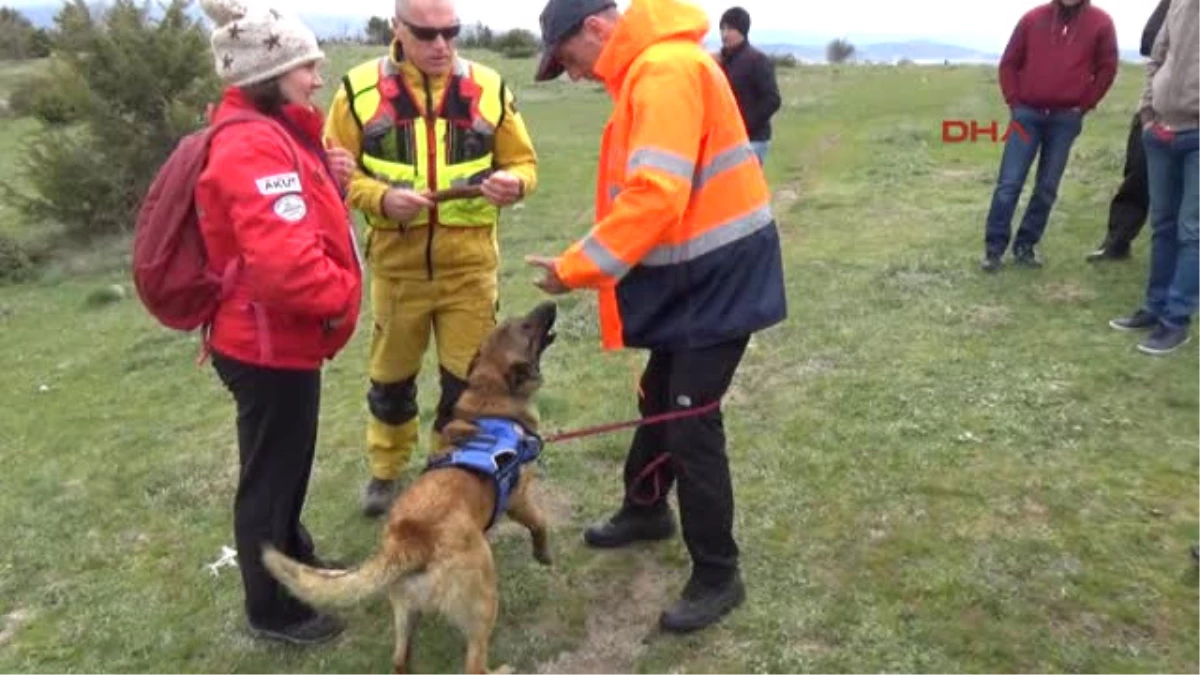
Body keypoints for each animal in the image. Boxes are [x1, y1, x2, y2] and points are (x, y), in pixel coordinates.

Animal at [261, 300, 556, 672]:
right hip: (483, 601)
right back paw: (501, 669)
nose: (550, 303)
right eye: (526, 328)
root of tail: (408, 539)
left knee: (400, 660)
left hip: (405, 611)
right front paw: (543, 554)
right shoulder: (519, 500)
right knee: (474, 664)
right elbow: (539, 523)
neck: (491, 396)